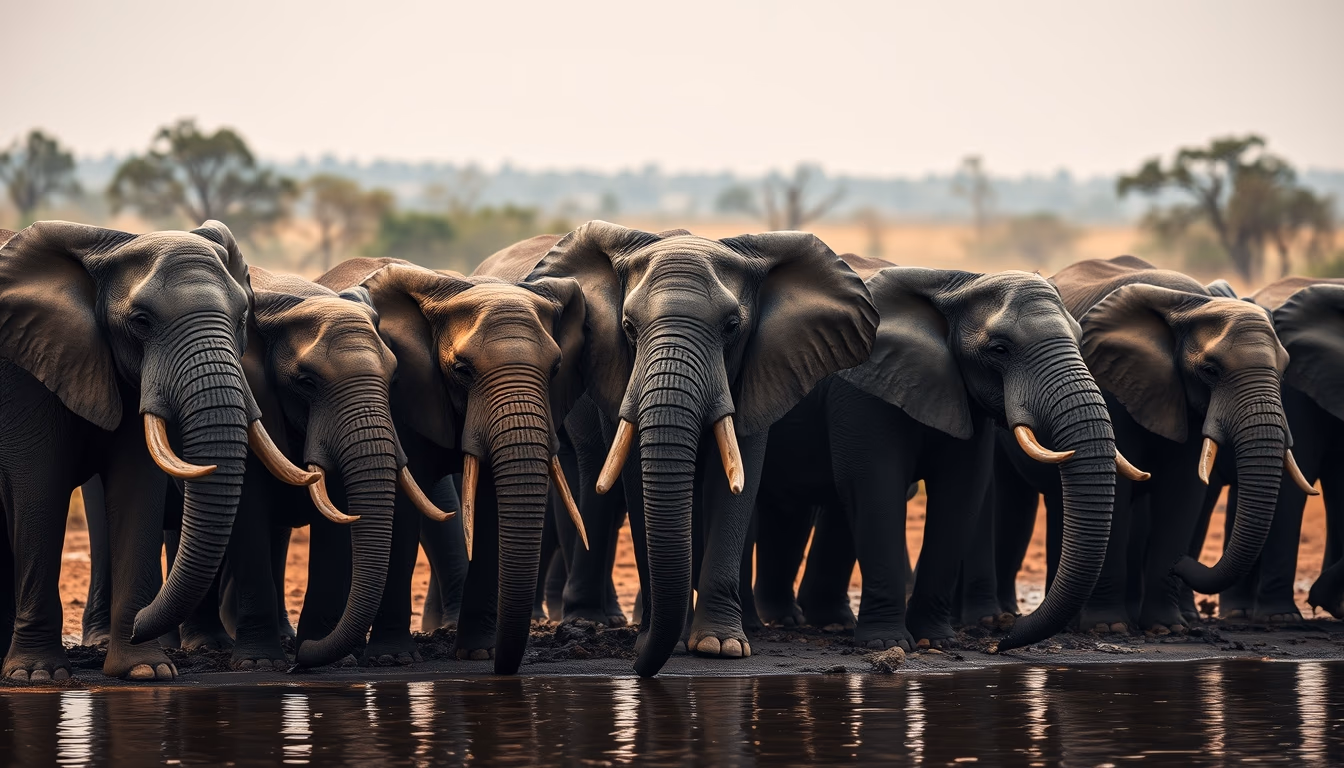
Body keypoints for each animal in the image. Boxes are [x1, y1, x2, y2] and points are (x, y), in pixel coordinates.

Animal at [0, 221, 301, 680]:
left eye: (242, 319)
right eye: (141, 322)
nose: (143, 622)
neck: (107, 245)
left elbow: (136, 486)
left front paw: (146, 671)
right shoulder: (26, 370)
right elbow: (39, 486)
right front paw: (36, 676)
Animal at [317, 258, 588, 673]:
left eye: (556, 368)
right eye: (462, 370)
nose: (505, 669)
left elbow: (492, 507)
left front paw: (480, 654)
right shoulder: (401, 396)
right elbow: (400, 511)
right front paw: (392, 659)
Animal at [477, 222, 878, 676]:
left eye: (732, 327)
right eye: (628, 327)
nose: (639, 669)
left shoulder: (763, 366)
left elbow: (734, 478)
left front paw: (721, 646)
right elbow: (636, 480)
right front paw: (658, 640)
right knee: (589, 477)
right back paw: (592, 620)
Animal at [753, 263, 1121, 651]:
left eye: (1080, 340)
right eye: (1000, 349)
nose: (1001, 641)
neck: (957, 284)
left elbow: (961, 492)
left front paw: (937, 641)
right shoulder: (861, 394)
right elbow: (876, 488)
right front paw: (887, 644)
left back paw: (823, 624)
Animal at [995, 255, 1303, 634]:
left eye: (1285, 371)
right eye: (1210, 370)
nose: (1184, 564)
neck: (1192, 304)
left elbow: (1182, 491)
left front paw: (1168, 628)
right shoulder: (1113, 384)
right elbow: (1119, 485)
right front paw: (1108, 627)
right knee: (1013, 502)